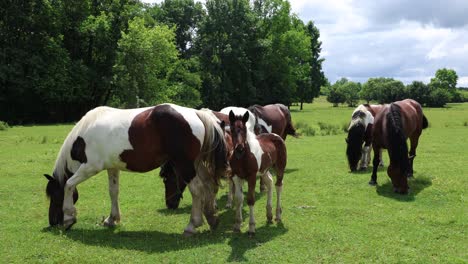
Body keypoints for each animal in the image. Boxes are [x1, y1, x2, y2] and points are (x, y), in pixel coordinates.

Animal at [43, 103, 227, 235]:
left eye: (55, 196)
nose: (52, 222)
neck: (84, 137)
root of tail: (195, 113)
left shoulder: (90, 167)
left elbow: (68, 184)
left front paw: (68, 217)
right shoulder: (112, 168)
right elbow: (113, 191)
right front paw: (111, 219)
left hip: (185, 165)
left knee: (198, 190)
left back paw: (192, 225)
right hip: (196, 164)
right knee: (209, 185)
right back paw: (212, 218)